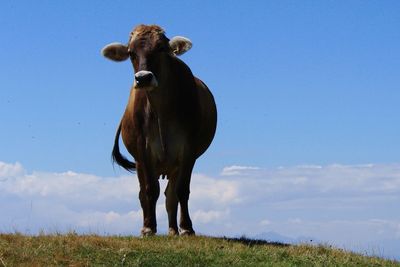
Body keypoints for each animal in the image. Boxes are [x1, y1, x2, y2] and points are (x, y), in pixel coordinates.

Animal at [101, 24, 217, 237]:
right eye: (131, 53)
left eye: (161, 48)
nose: (143, 78)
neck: (162, 111)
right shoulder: (143, 151)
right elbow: (149, 190)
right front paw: (149, 227)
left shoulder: (188, 151)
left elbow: (182, 190)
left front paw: (187, 227)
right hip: (141, 163)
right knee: (145, 194)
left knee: (171, 196)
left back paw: (173, 230)